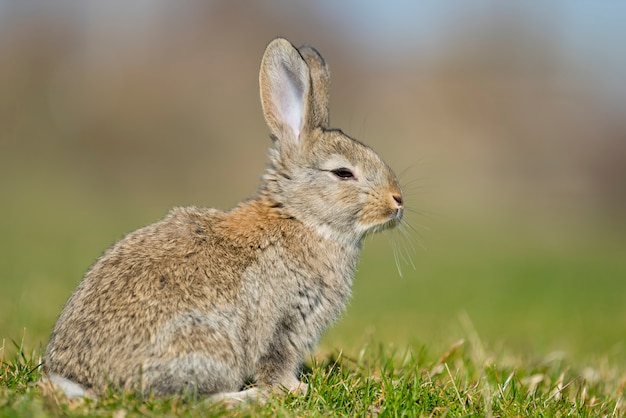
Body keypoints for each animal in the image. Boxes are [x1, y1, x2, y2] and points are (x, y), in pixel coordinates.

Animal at [45, 37, 404, 404]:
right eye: (343, 173)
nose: (398, 201)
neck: (301, 217)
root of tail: (79, 380)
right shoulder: (285, 323)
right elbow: (276, 362)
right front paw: (294, 389)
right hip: (204, 345)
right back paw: (246, 399)